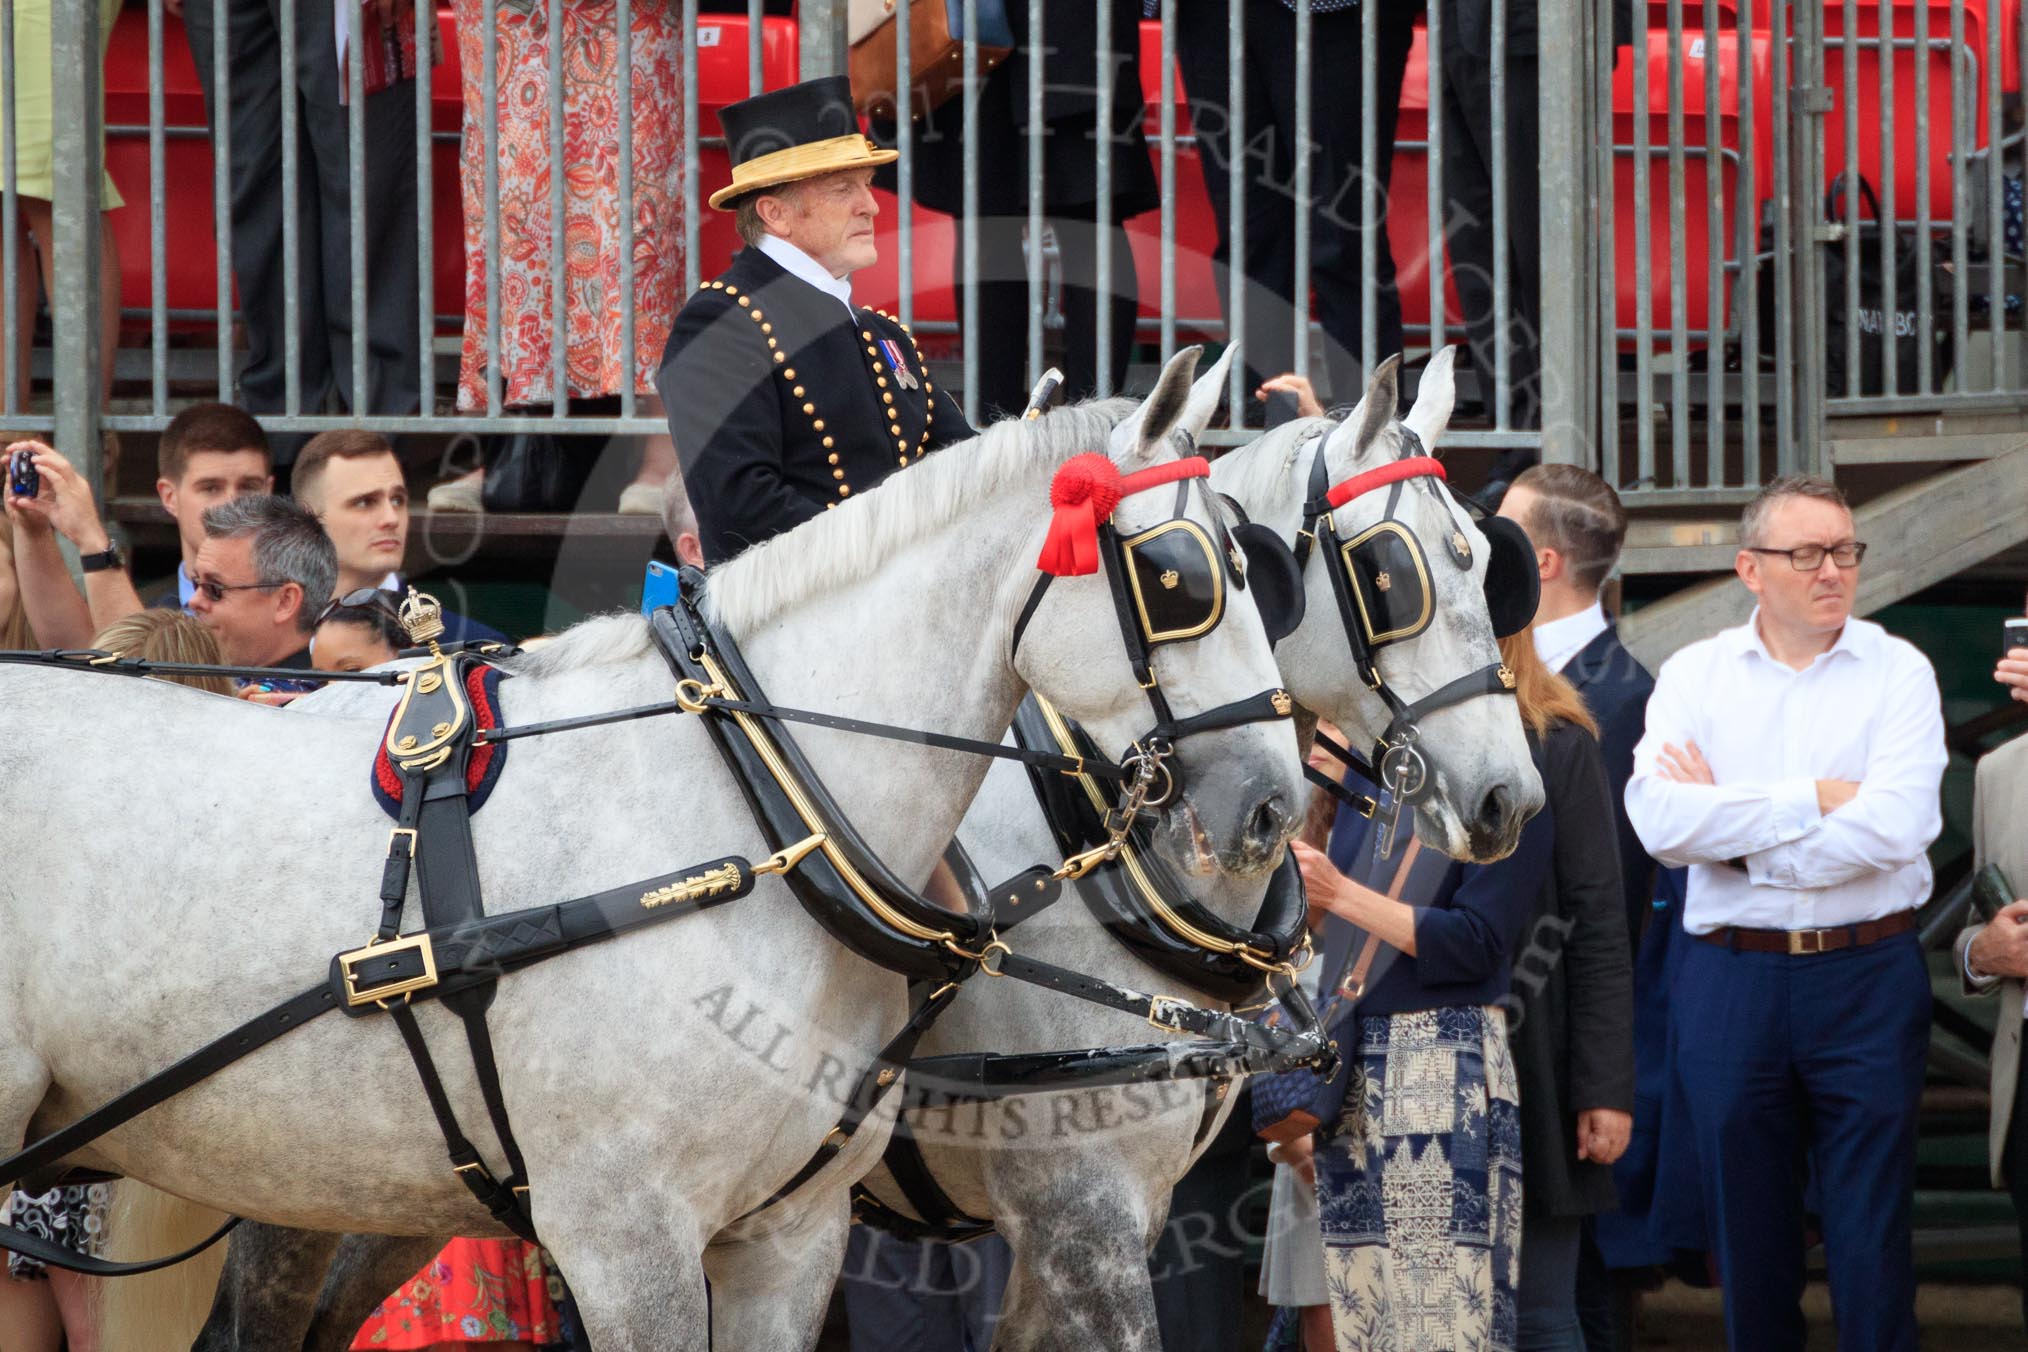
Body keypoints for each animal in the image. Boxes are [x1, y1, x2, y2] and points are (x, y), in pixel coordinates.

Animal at [0, 352, 1297, 1352]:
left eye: (1260, 572)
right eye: (1178, 576)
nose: (1271, 807)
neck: (759, 813)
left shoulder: (792, 1236)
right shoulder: (632, 1231)